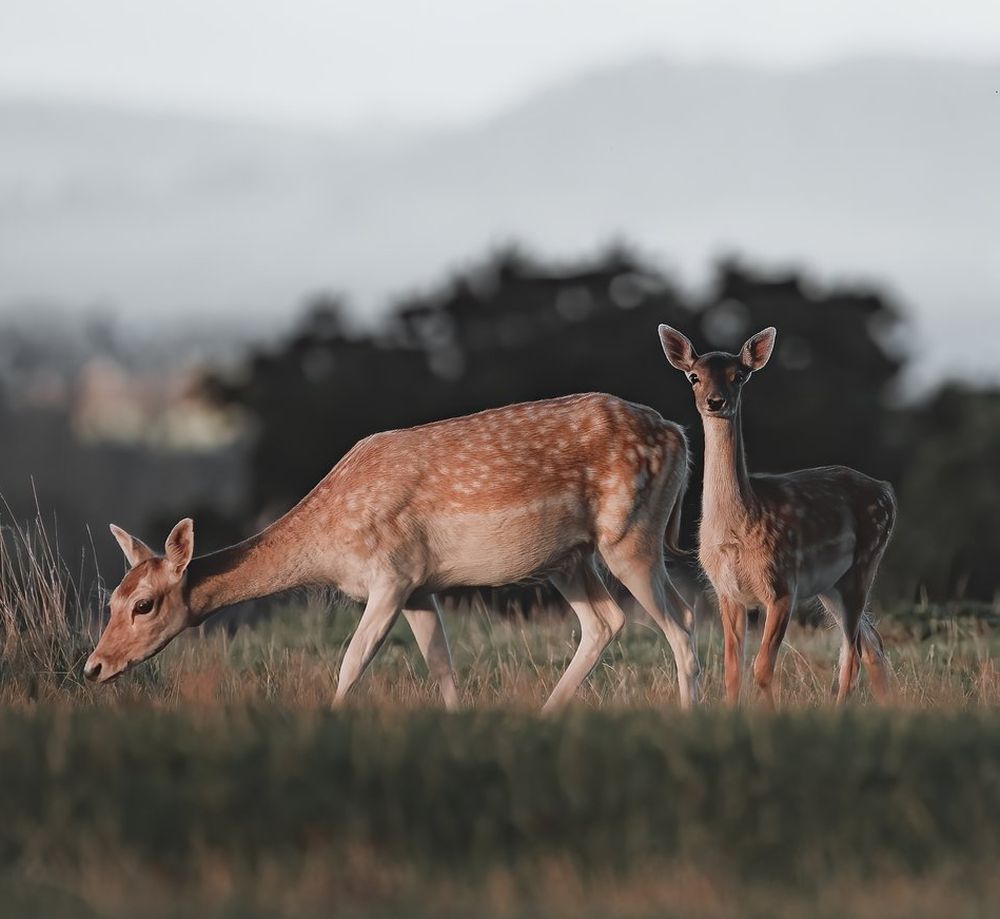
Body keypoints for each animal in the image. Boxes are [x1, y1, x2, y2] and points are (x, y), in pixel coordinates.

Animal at [84, 392, 704, 708]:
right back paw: (549, 716)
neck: (332, 546)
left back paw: (690, 712)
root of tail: (679, 435)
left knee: (681, 617)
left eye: (143, 604)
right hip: (568, 558)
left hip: (630, 535)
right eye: (110, 600)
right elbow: (442, 668)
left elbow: (351, 663)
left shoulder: (391, 575)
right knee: (605, 621)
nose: (92, 667)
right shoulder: (420, 587)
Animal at [660, 328, 896, 708]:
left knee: (852, 653)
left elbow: (762, 667)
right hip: (830, 585)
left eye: (738, 376)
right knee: (872, 643)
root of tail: (887, 490)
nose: (715, 401)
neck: (738, 527)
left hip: (864, 564)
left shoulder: (784, 583)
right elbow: (732, 670)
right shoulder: (726, 591)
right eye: (694, 376)